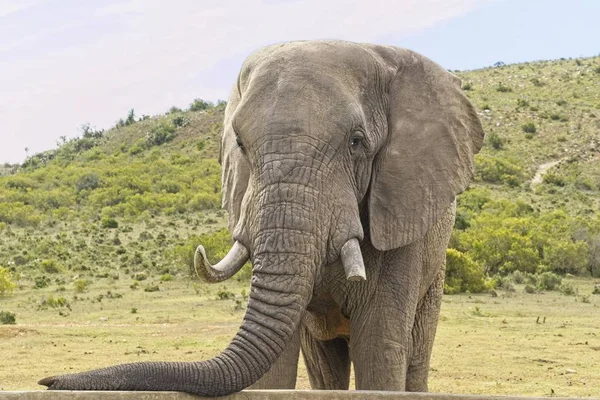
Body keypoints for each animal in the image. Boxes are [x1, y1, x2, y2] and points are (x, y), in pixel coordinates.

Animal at [39, 39, 486, 396]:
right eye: (239, 143)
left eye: (357, 143)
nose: (47, 380)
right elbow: (277, 358)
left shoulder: (402, 205)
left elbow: (379, 345)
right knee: (324, 363)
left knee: (412, 353)